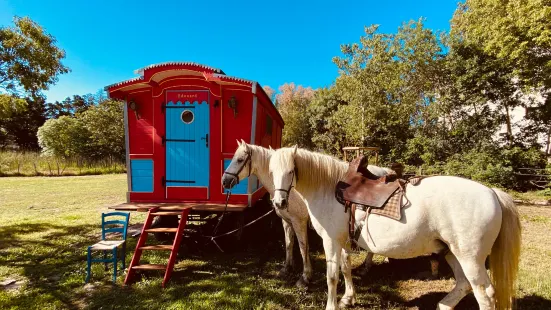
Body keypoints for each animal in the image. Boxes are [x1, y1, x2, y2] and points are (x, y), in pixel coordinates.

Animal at [222, 141, 394, 288]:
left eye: (239, 159)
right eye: (272, 171)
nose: (224, 181)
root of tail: (385, 171)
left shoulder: (299, 222)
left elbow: (303, 247)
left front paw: (305, 277)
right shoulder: (287, 221)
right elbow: (289, 243)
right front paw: (287, 268)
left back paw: (365, 267)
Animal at [270, 147, 520, 310]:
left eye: (291, 171)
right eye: (271, 172)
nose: (279, 203)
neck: (330, 189)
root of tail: (492, 192)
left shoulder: (330, 241)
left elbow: (332, 276)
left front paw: (332, 304)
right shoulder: (341, 242)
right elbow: (345, 269)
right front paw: (348, 299)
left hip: (470, 258)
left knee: (484, 294)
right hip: (452, 252)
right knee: (463, 284)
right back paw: (444, 305)